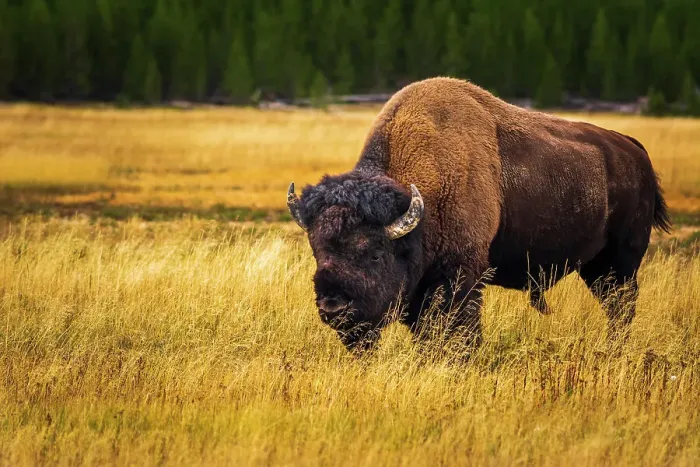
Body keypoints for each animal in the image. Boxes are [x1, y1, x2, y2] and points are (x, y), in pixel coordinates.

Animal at [287, 77, 671, 352]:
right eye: (318, 251)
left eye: (375, 253)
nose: (333, 308)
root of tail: (634, 149)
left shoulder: (462, 275)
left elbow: (459, 329)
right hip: (595, 267)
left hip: (621, 261)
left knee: (621, 306)